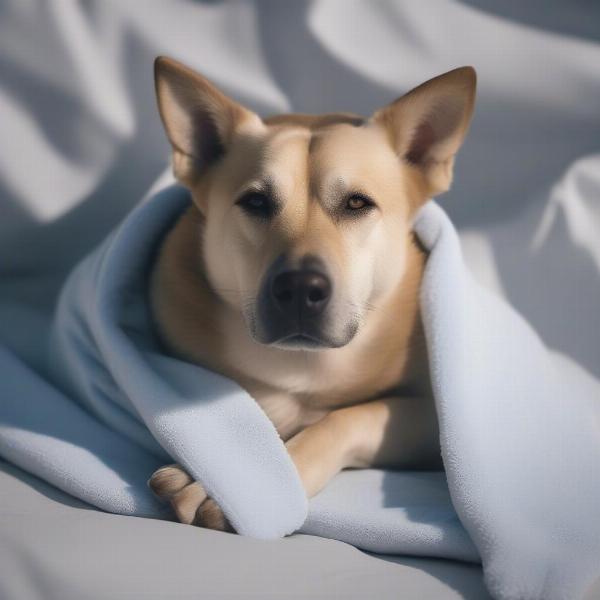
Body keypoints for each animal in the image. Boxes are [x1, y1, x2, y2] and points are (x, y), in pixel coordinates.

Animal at [148, 56, 476, 532]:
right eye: (255, 202)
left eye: (357, 203)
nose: (301, 288)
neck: (304, 368)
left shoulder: (438, 420)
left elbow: (347, 418)